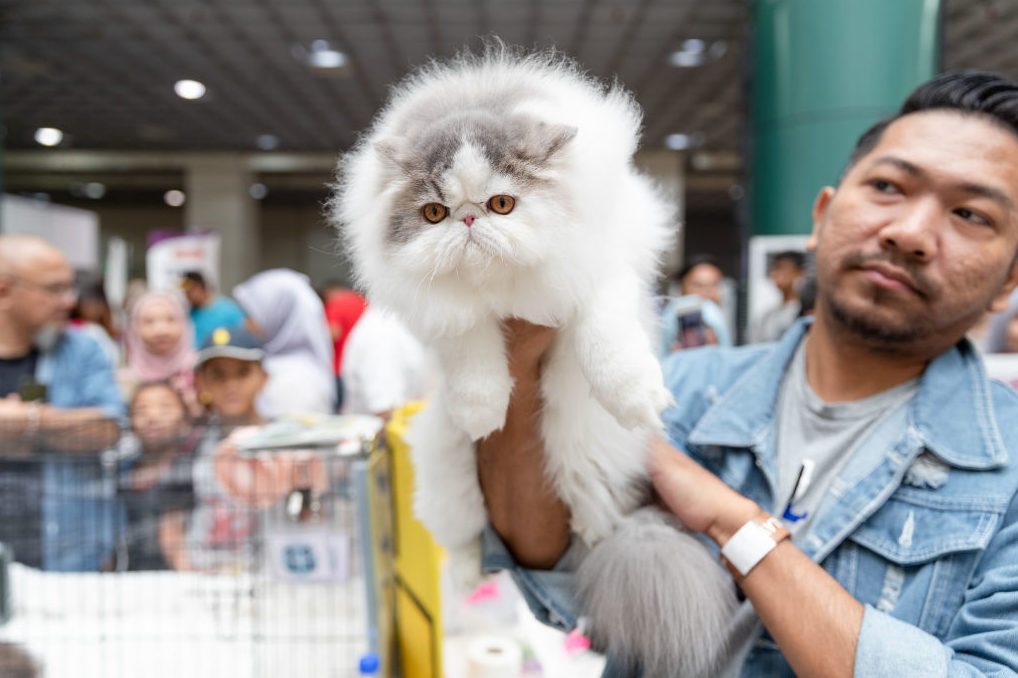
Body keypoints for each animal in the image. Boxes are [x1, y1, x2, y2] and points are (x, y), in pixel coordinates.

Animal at [333, 44, 741, 671]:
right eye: (433, 214)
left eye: (502, 204)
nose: (469, 219)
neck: (504, 290)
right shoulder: (447, 316)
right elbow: (473, 351)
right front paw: (483, 410)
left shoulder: (602, 269)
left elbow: (606, 340)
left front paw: (635, 395)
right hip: (447, 476)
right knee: (465, 541)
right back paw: (471, 577)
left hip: (584, 452)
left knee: (594, 508)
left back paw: (597, 532)